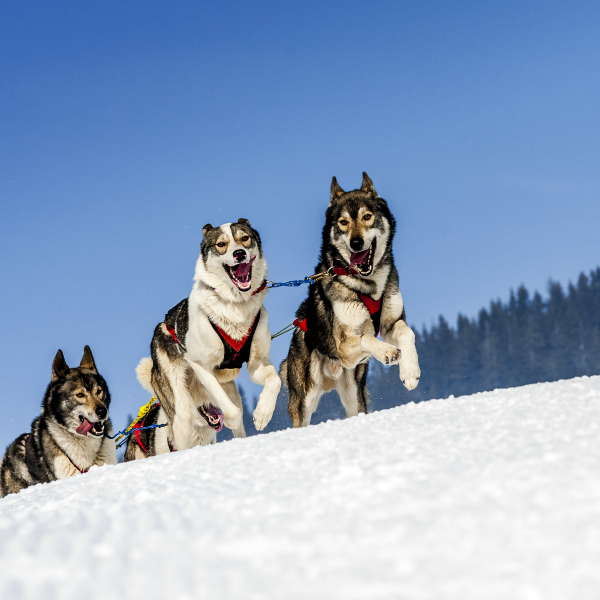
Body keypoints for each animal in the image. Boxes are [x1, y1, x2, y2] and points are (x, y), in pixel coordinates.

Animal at [125, 219, 280, 460]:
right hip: (180, 408)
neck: (234, 304)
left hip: (230, 388)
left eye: (245, 238)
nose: (239, 253)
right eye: (221, 244)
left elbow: (275, 381)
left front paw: (263, 413)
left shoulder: (257, 363)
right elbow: (232, 411)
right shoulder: (201, 365)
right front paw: (235, 418)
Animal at [282, 173, 420, 426]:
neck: (367, 286)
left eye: (367, 216)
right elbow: (366, 336)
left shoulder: (390, 324)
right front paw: (386, 352)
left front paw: (410, 372)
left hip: (355, 395)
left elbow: (407, 332)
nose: (356, 242)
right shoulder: (344, 347)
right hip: (304, 399)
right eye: (343, 222)